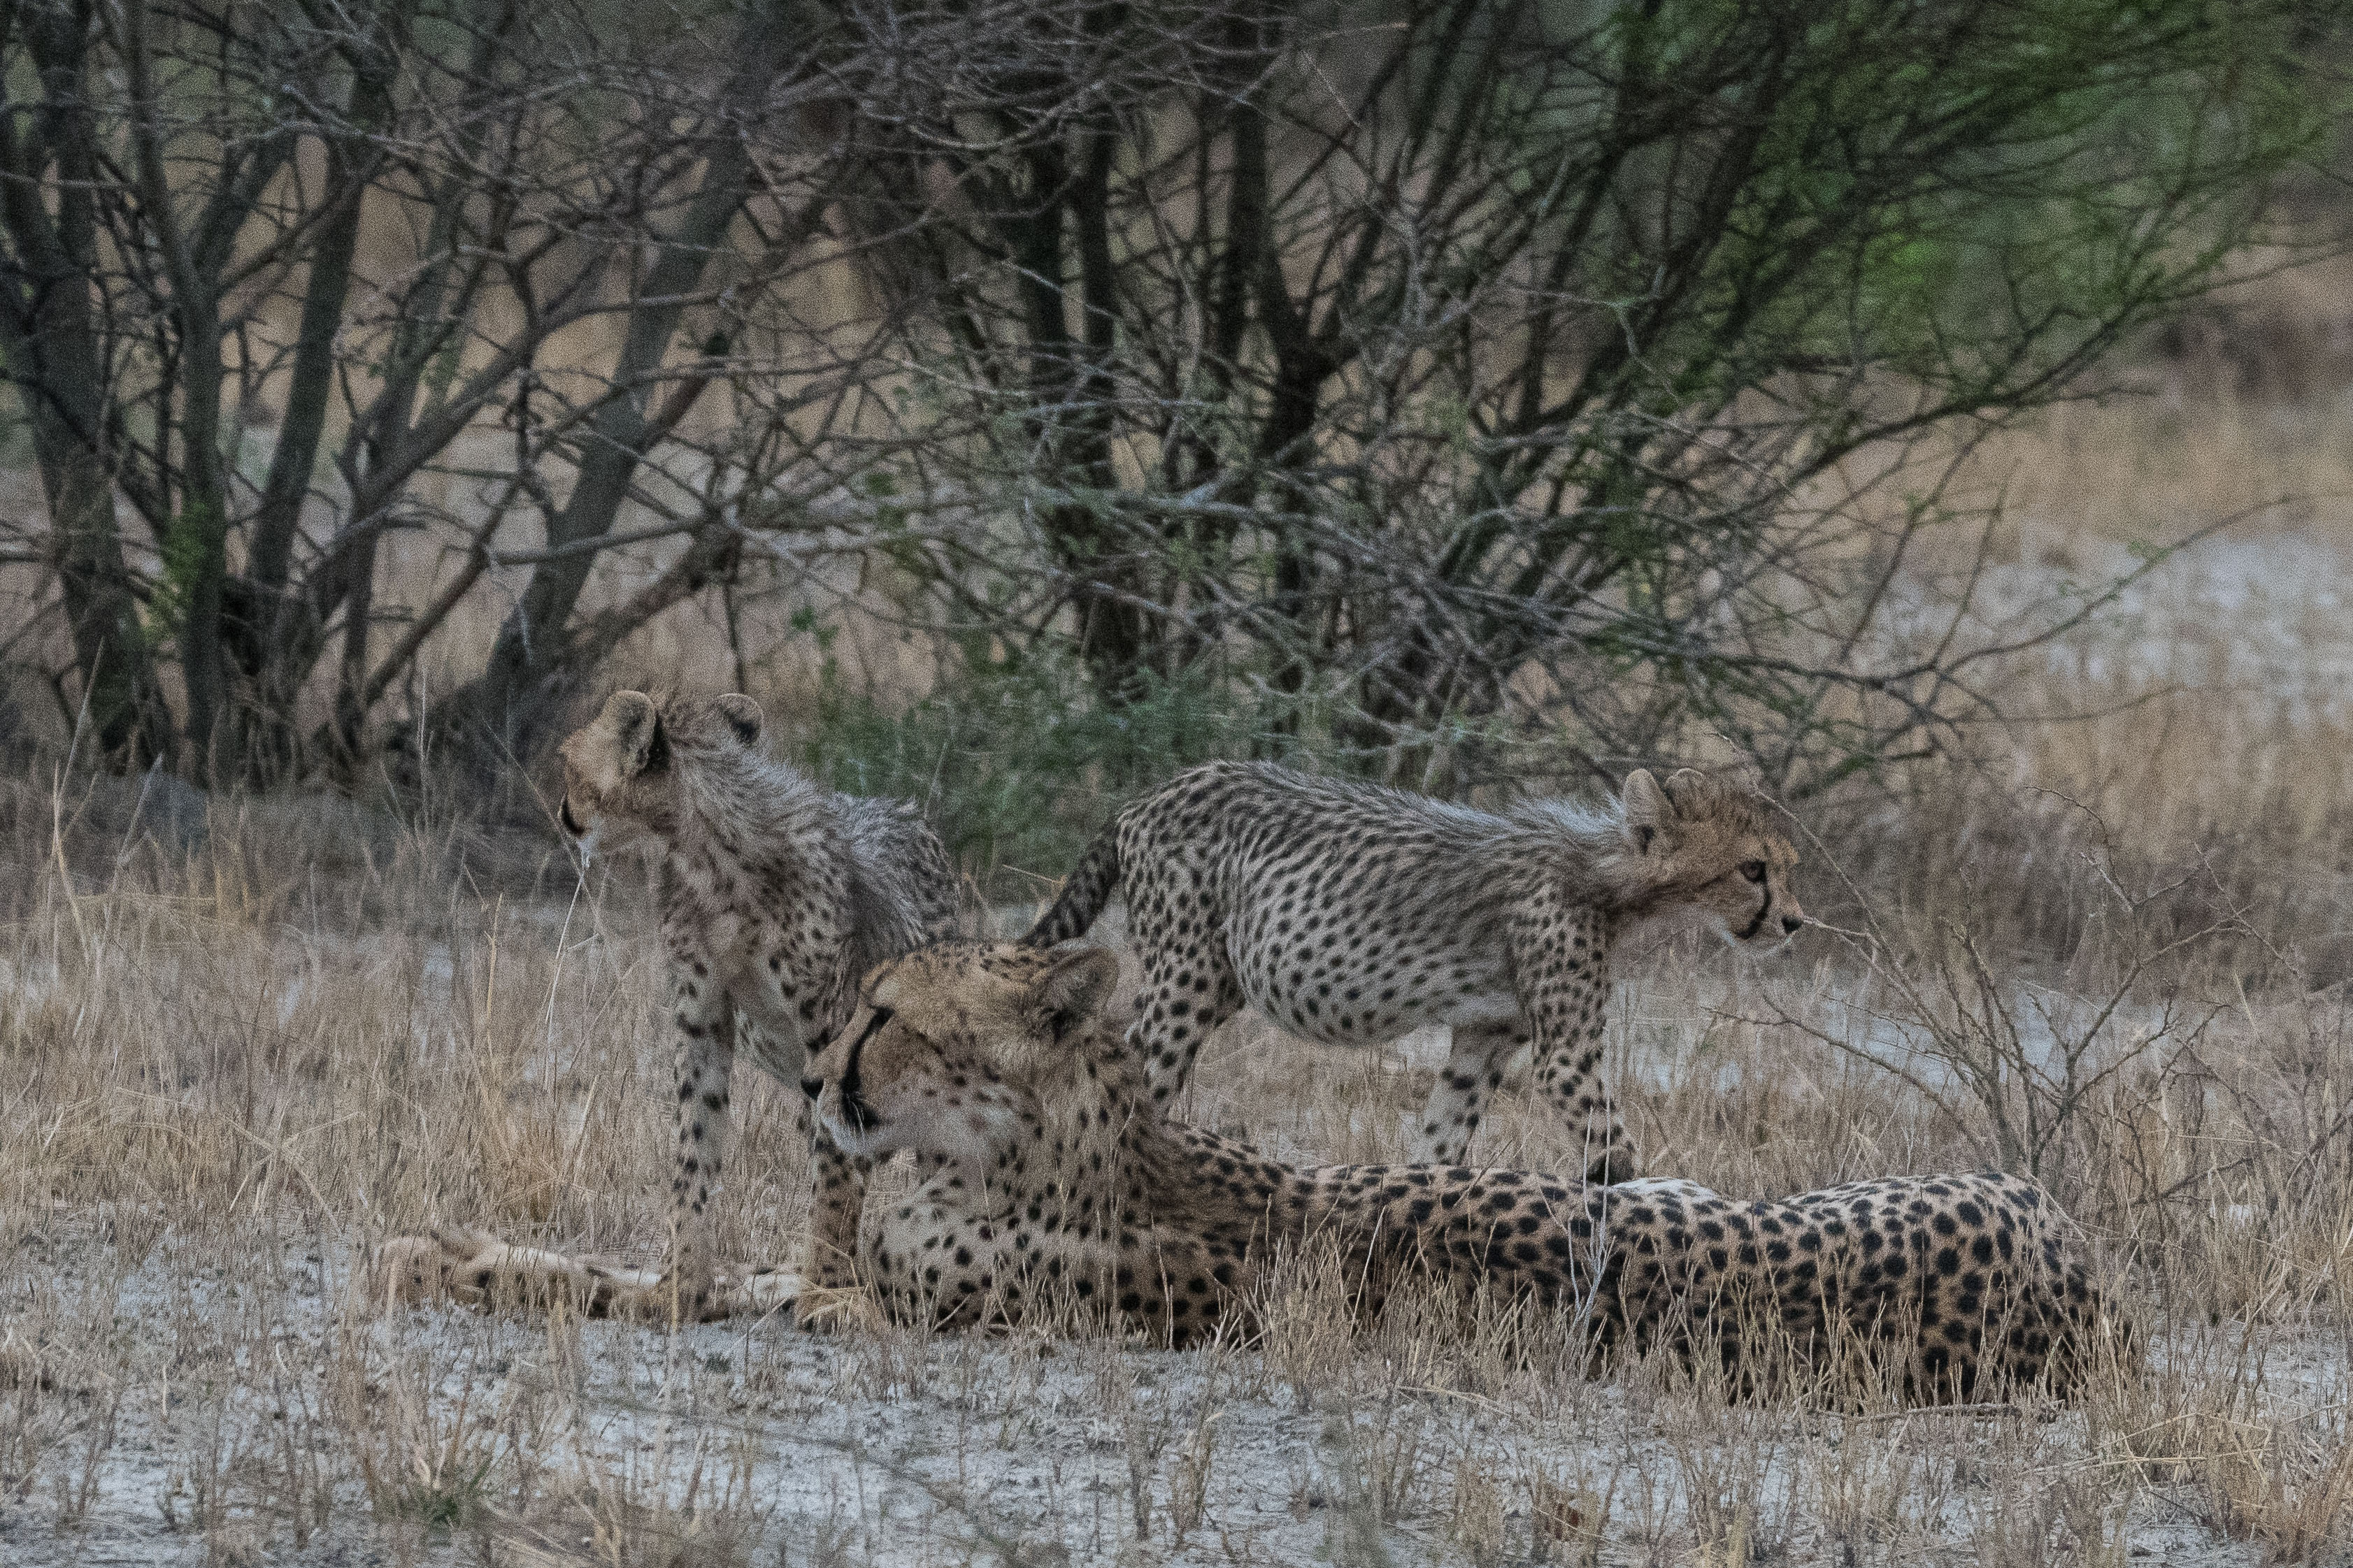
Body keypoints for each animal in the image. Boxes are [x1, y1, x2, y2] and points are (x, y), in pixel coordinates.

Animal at [381, 944, 2136, 1401]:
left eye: (889, 1012)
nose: (813, 1074)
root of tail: (2078, 1265)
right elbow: (648, 1274)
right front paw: (445, 1254)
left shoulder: (979, 1305)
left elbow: (799, 1302)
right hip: (1659, 1196)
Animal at [550, 691, 955, 1316]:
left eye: (570, 763)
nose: (564, 810)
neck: (707, 857)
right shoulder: (702, 1021)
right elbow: (693, 1152)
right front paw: (680, 1284)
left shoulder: (829, 1030)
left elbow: (835, 1173)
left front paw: (826, 1289)